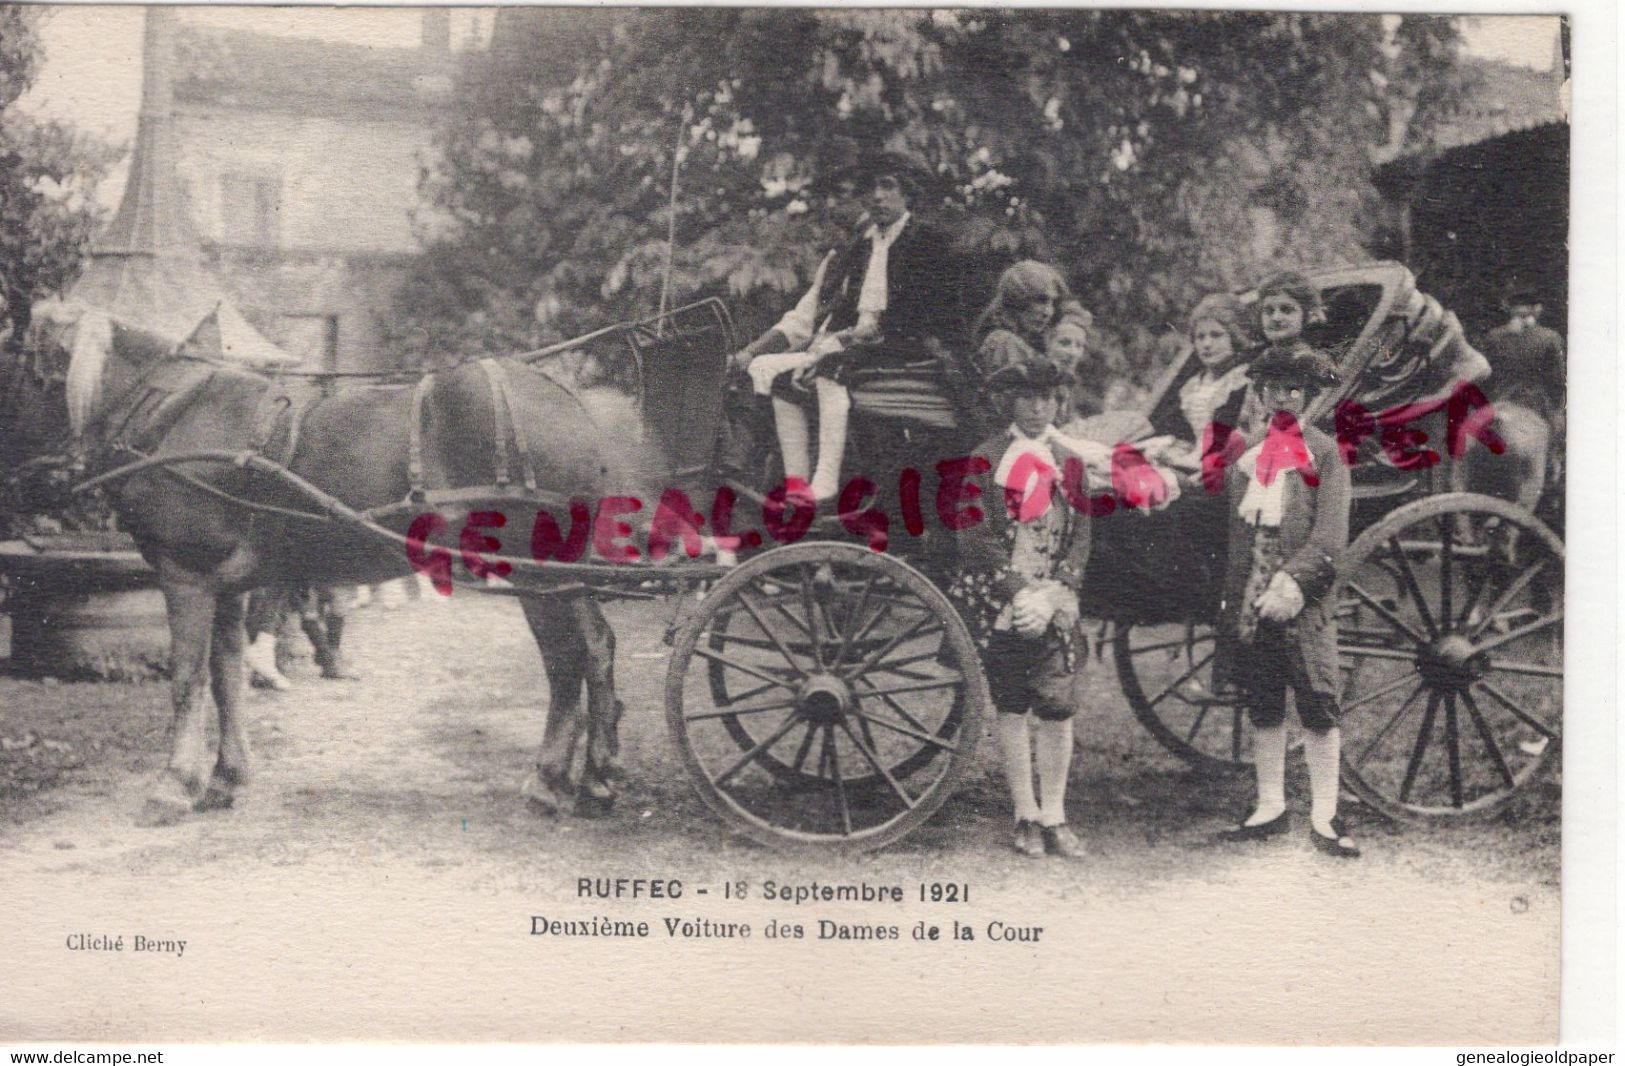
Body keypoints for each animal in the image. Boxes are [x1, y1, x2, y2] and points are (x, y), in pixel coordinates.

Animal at [12, 320, 659, 828]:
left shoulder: (185, 575)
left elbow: (187, 680)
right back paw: (597, 779)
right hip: (562, 574)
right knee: (597, 647)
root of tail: (565, 396)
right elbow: (226, 676)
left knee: (565, 659)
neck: (174, 412)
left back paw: (549, 781)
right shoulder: (227, 585)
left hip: (537, 576)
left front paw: (174, 786)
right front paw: (225, 777)